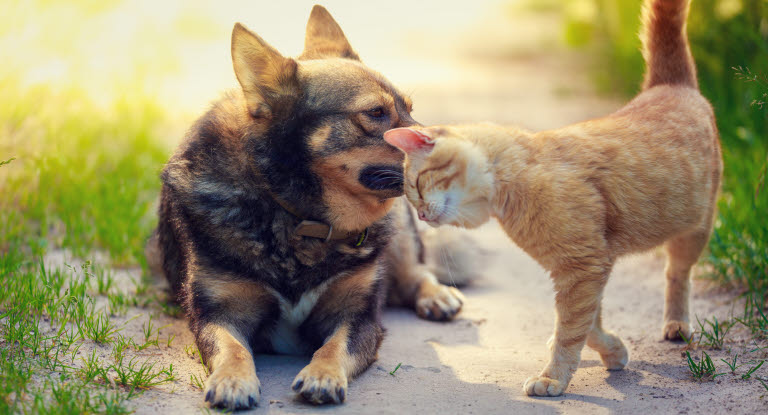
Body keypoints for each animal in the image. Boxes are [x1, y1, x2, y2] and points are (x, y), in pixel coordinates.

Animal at [146, 4, 464, 412]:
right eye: (375, 112)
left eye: (409, 109)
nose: (457, 146)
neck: (298, 215)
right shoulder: (216, 313)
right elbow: (232, 347)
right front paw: (233, 380)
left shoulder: (358, 317)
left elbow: (334, 347)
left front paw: (322, 375)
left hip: (400, 230)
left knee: (415, 271)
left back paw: (437, 295)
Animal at [384, 0, 720, 396]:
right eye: (412, 199)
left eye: (418, 187)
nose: (421, 217)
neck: (516, 178)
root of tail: (669, 85)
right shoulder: (586, 269)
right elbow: (588, 324)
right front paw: (613, 351)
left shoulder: (581, 268)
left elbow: (572, 330)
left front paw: (553, 376)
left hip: (694, 230)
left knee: (677, 273)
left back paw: (677, 324)